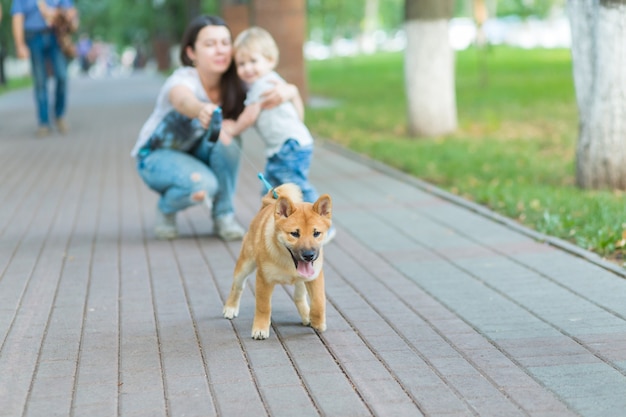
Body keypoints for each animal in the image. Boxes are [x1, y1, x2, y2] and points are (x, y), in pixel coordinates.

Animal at [223, 184, 332, 340]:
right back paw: (230, 308)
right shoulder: (264, 279)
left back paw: (306, 315)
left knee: (298, 297)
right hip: (245, 266)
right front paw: (260, 329)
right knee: (237, 287)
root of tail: (267, 204)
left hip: (302, 279)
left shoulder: (314, 276)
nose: (309, 255)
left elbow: (318, 302)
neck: (288, 262)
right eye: (295, 234)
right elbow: (263, 307)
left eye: (316, 233)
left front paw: (317, 322)